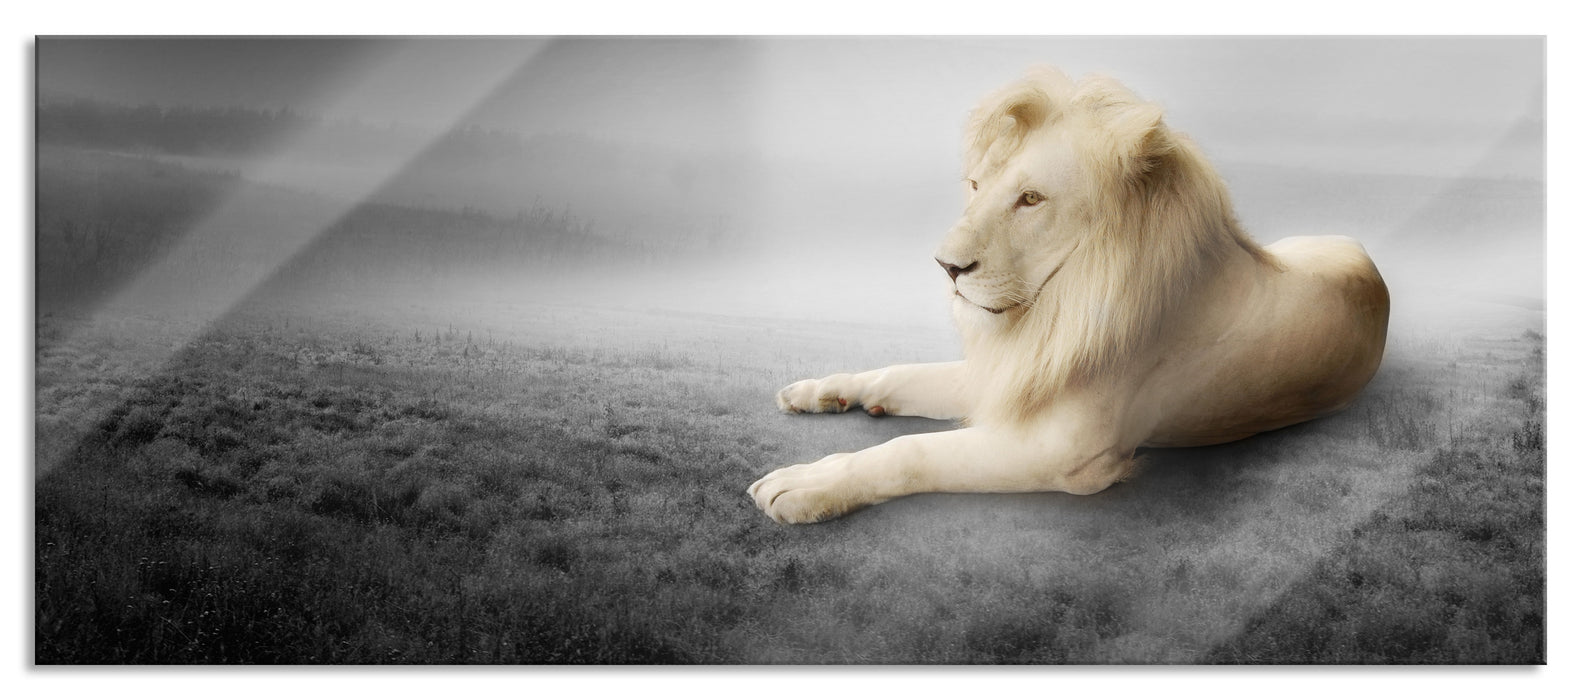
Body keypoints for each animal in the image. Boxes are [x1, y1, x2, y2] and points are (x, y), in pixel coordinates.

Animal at [748, 67, 1391, 524]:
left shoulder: (1067, 452)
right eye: (977, 186)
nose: (946, 267)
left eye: (1031, 199)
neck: (1055, 310)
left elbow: (911, 452)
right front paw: (826, 391)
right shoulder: (1015, 373)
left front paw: (806, 484)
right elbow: (902, 372)